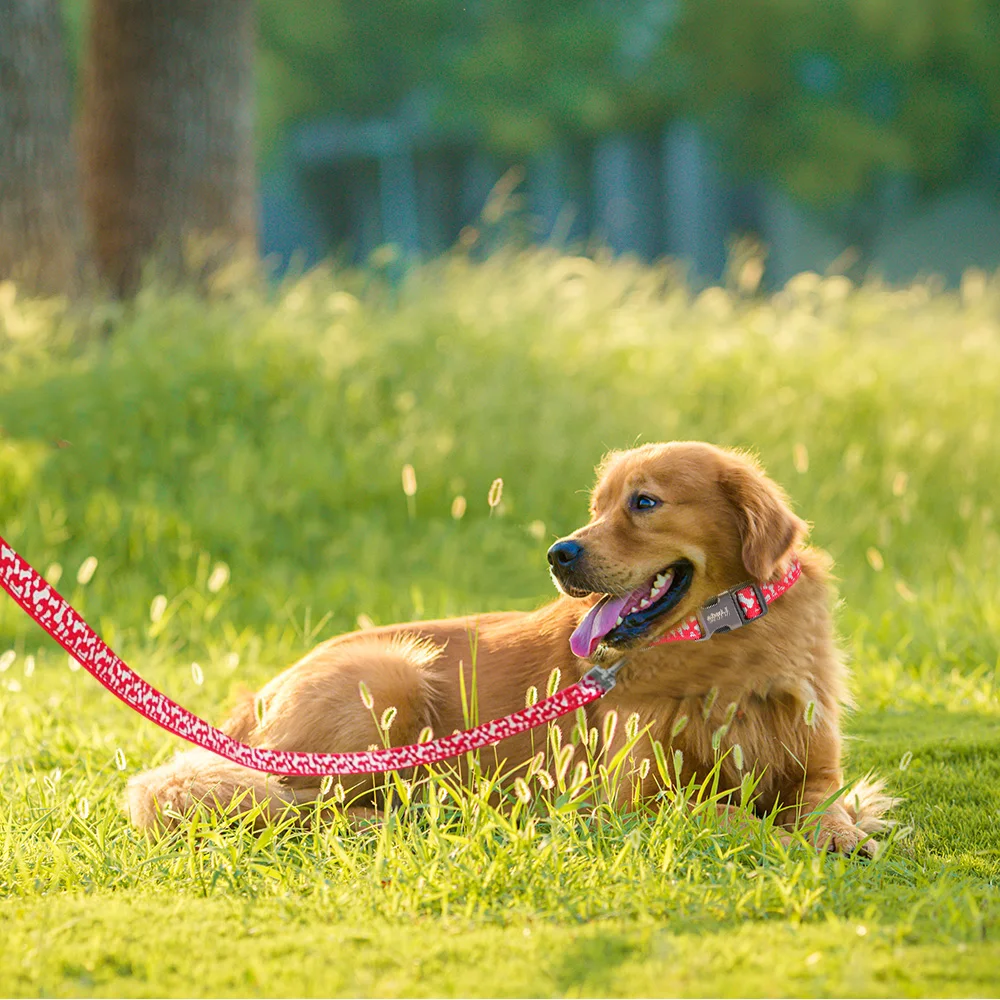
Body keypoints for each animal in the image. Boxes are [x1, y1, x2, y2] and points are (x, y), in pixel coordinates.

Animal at [127, 440, 892, 852]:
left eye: (643, 503)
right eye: (597, 505)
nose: (559, 553)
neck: (727, 647)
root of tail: (255, 699)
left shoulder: (814, 766)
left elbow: (823, 802)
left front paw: (844, 834)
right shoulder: (632, 800)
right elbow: (730, 813)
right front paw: (791, 839)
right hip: (388, 682)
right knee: (302, 804)